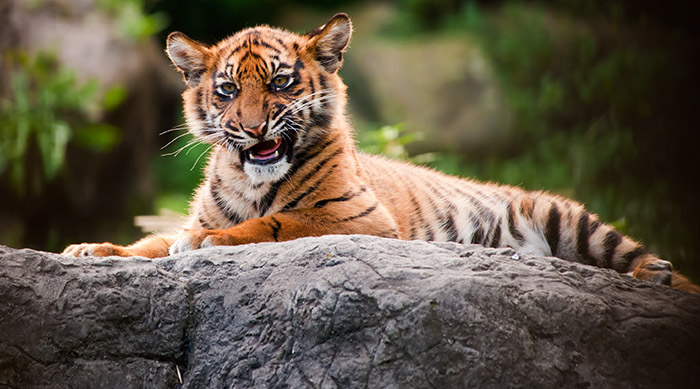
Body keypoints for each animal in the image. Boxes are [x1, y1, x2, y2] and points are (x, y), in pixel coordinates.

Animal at [63, 12, 696, 292]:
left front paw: (211, 243)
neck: (249, 177)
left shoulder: (357, 218)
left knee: (648, 259)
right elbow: (149, 244)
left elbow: (277, 224)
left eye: (281, 83)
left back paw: (657, 277)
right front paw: (91, 250)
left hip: (564, 215)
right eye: (226, 91)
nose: (249, 126)